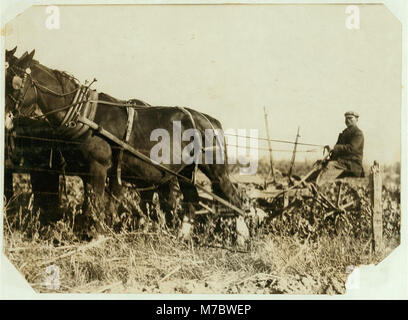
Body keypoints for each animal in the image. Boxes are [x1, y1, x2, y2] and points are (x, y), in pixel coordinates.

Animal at [4, 48, 244, 236]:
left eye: (13, 84)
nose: (5, 119)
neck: (86, 114)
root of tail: (208, 119)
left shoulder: (99, 166)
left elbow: (98, 203)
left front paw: (96, 235)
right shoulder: (85, 171)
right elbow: (89, 204)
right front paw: (87, 232)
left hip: (215, 167)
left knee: (234, 198)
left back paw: (243, 236)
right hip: (184, 171)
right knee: (192, 200)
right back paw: (182, 237)